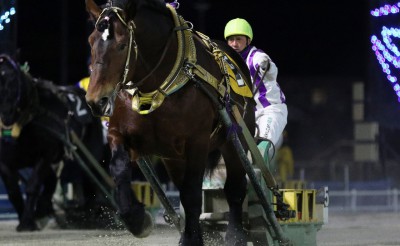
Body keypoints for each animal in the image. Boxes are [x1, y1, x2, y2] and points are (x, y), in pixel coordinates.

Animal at [0, 54, 104, 232]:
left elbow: (33, 186)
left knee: (92, 180)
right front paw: (27, 217)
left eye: (15, 80)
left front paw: (27, 222)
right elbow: (14, 193)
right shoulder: (6, 162)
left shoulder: (46, 154)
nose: (7, 115)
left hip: (89, 154)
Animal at [85, 0, 256, 245]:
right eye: (91, 41)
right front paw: (136, 219)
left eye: (122, 45)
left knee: (234, 187)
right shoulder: (120, 132)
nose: (95, 101)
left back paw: (235, 235)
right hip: (174, 158)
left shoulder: (197, 142)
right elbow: (119, 169)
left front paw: (192, 239)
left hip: (235, 139)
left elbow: (192, 193)